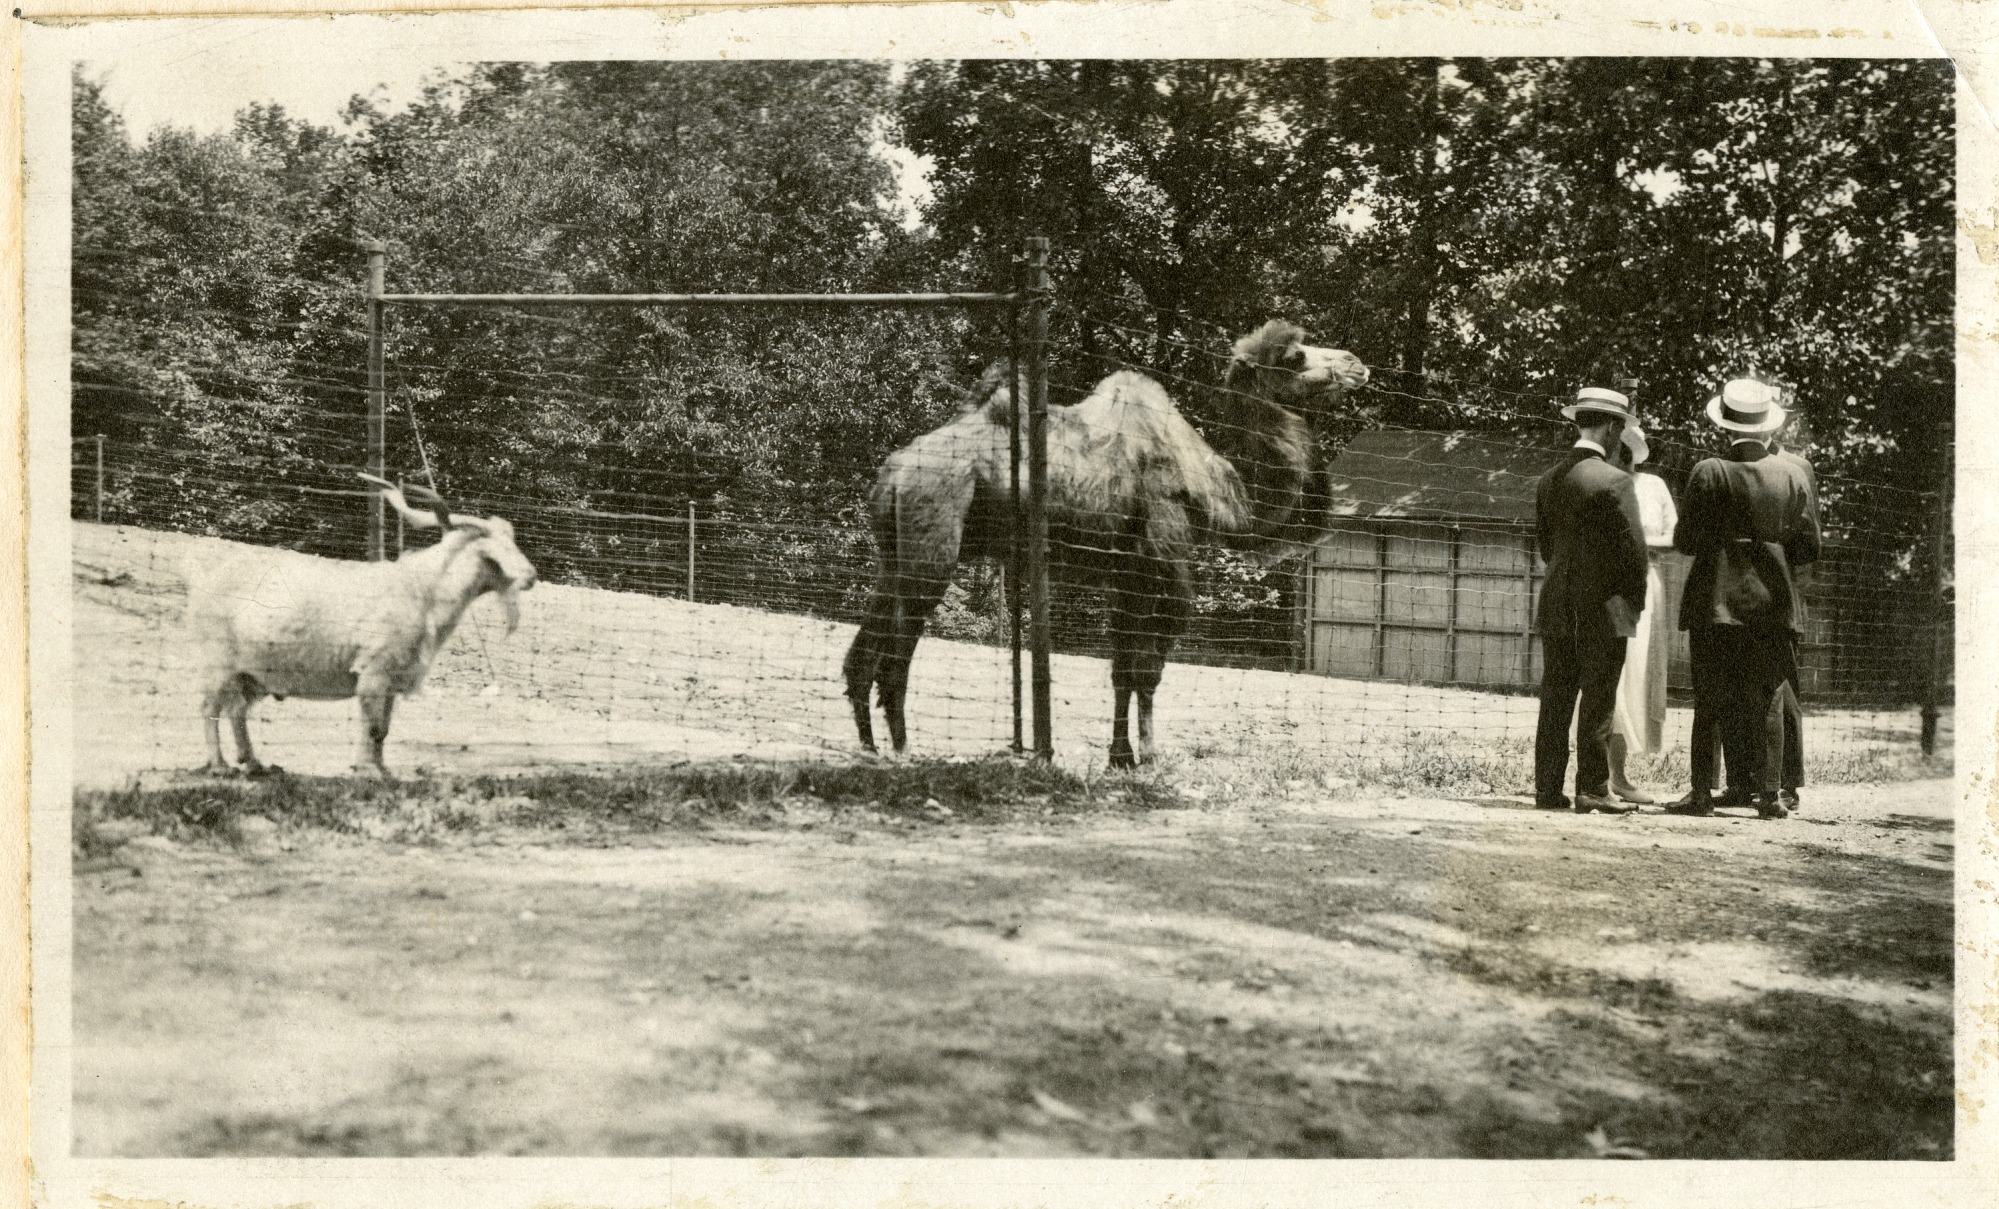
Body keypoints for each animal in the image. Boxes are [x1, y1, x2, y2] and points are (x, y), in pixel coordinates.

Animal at [842, 320, 1370, 768]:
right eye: (1295, 357)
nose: (1356, 363)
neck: (1218, 491)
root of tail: (895, 471)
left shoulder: (1126, 573)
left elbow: (1121, 671)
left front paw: (1120, 758)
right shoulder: (1165, 561)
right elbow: (1148, 670)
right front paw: (1150, 758)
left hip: (892, 552)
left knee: (861, 656)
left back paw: (868, 749)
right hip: (931, 544)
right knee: (894, 658)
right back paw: (903, 752)